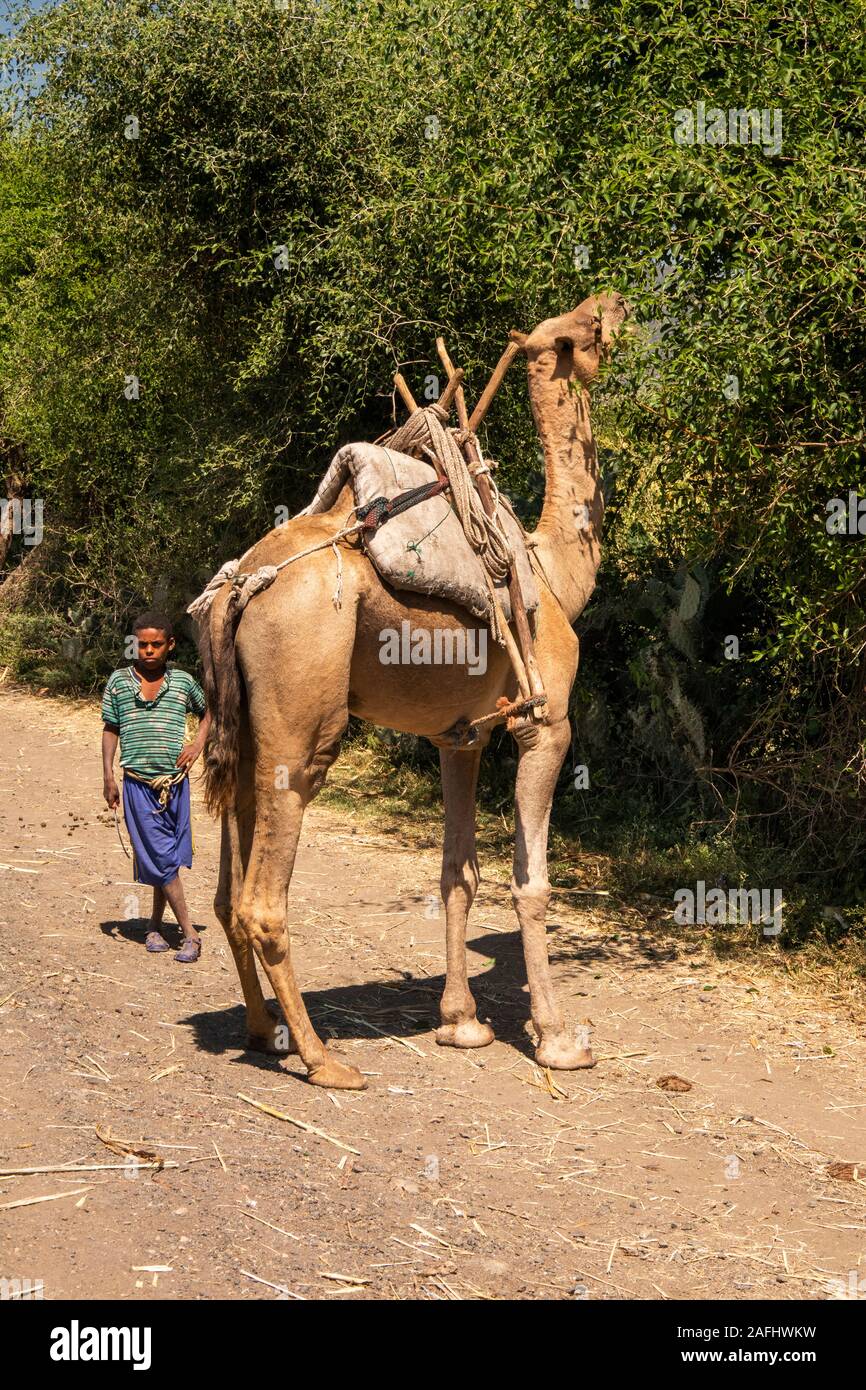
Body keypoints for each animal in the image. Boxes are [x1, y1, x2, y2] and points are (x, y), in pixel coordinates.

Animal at [195, 290, 631, 1084]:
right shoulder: (545, 724)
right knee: (263, 897)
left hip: (238, 730)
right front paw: (558, 1040)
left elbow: (458, 872)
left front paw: (461, 1023)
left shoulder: (459, 738)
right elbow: (531, 882)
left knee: (226, 890)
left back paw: (262, 1031)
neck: (554, 571)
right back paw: (323, 1058)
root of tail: (242, 588)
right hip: (300, 723)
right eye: (582, 328)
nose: (615, 302)